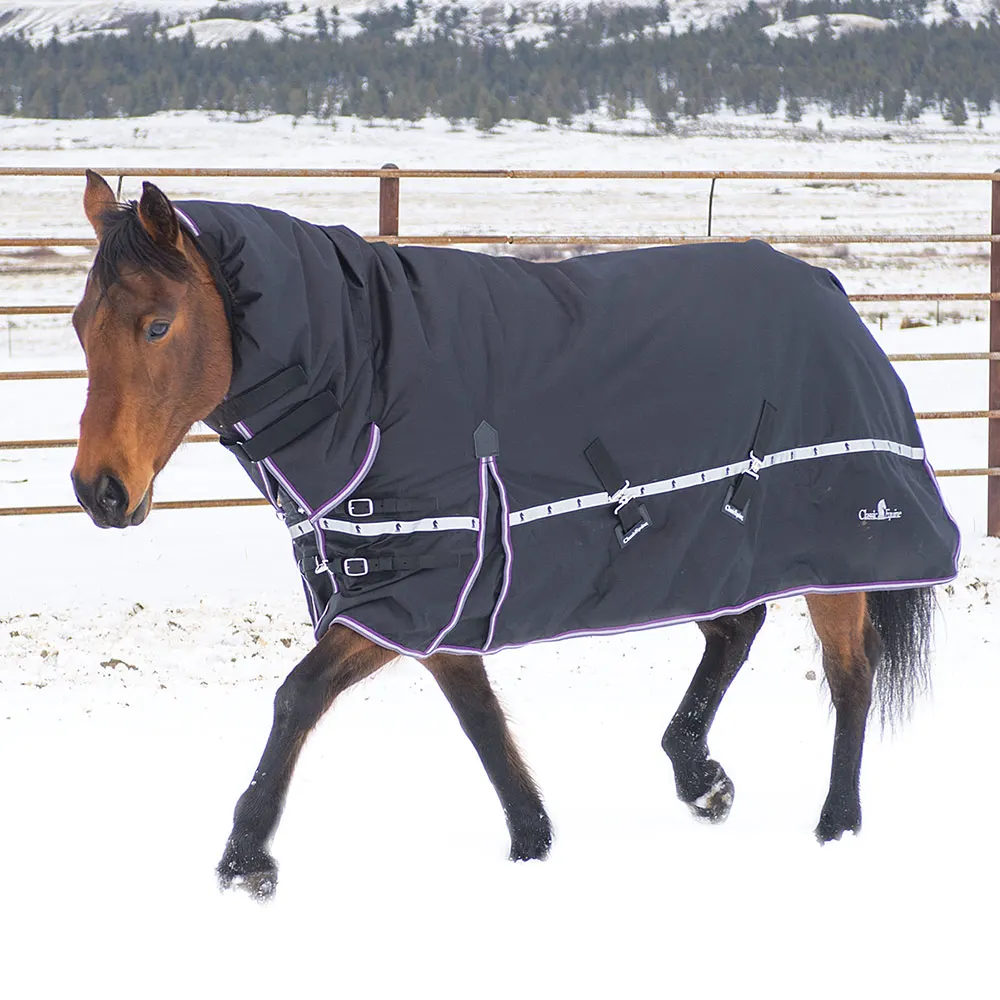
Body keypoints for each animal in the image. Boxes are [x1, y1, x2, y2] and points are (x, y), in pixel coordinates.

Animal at [70, 170, 955, 899]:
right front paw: (532, 840)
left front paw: (244, 860)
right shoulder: (432, 596)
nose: (99, 490)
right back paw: (699, 776)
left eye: (157, 327)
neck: (366, 377)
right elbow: (481, 721)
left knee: (849, 676)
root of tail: (833, 295)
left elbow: (299, 697)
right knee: (736, 631)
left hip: (838, 548)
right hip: (718, 546)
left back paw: (836, 823)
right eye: (80, 325)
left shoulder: (409, 593)